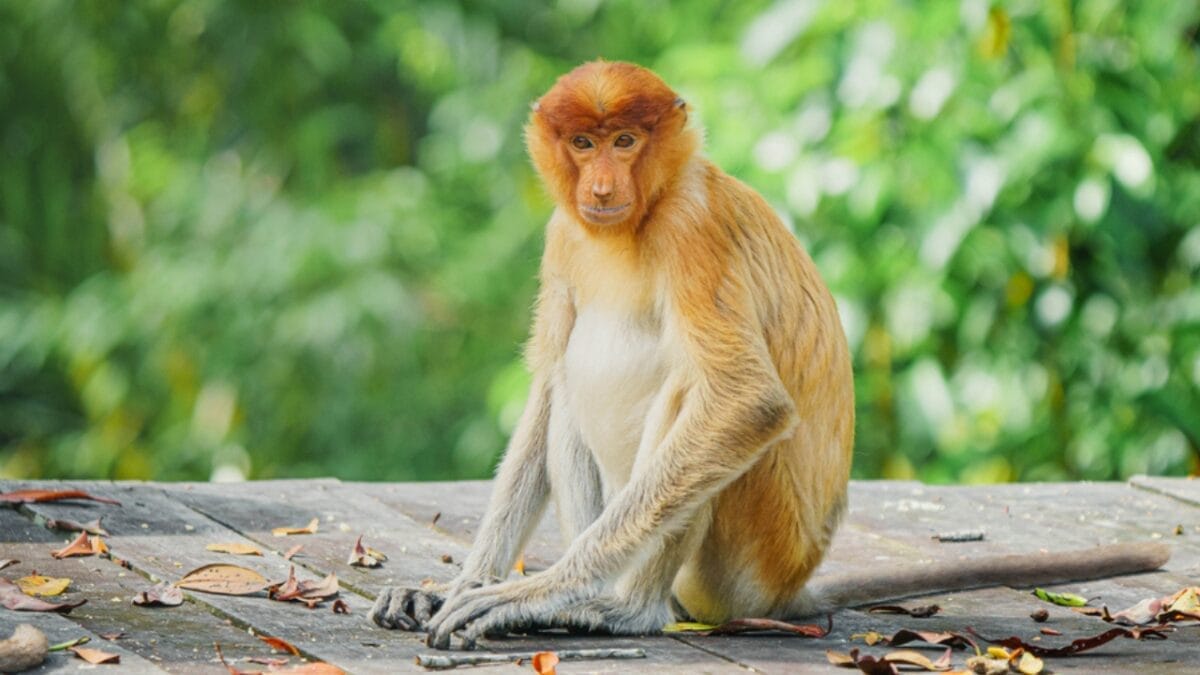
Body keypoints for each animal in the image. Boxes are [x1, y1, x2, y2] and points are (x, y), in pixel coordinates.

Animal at [370, 60, 1170, 650]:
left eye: (626, 141)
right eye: (583, 144)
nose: (599, 187)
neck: (636, 221)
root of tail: (791, 585)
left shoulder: (692, 229)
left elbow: (747, 400)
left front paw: (527, 592)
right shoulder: (565, 237)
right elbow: (545, 388)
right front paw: (455, 587)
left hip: (749, 555)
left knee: (692, 396)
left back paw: (615, 608)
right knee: (570, 389)